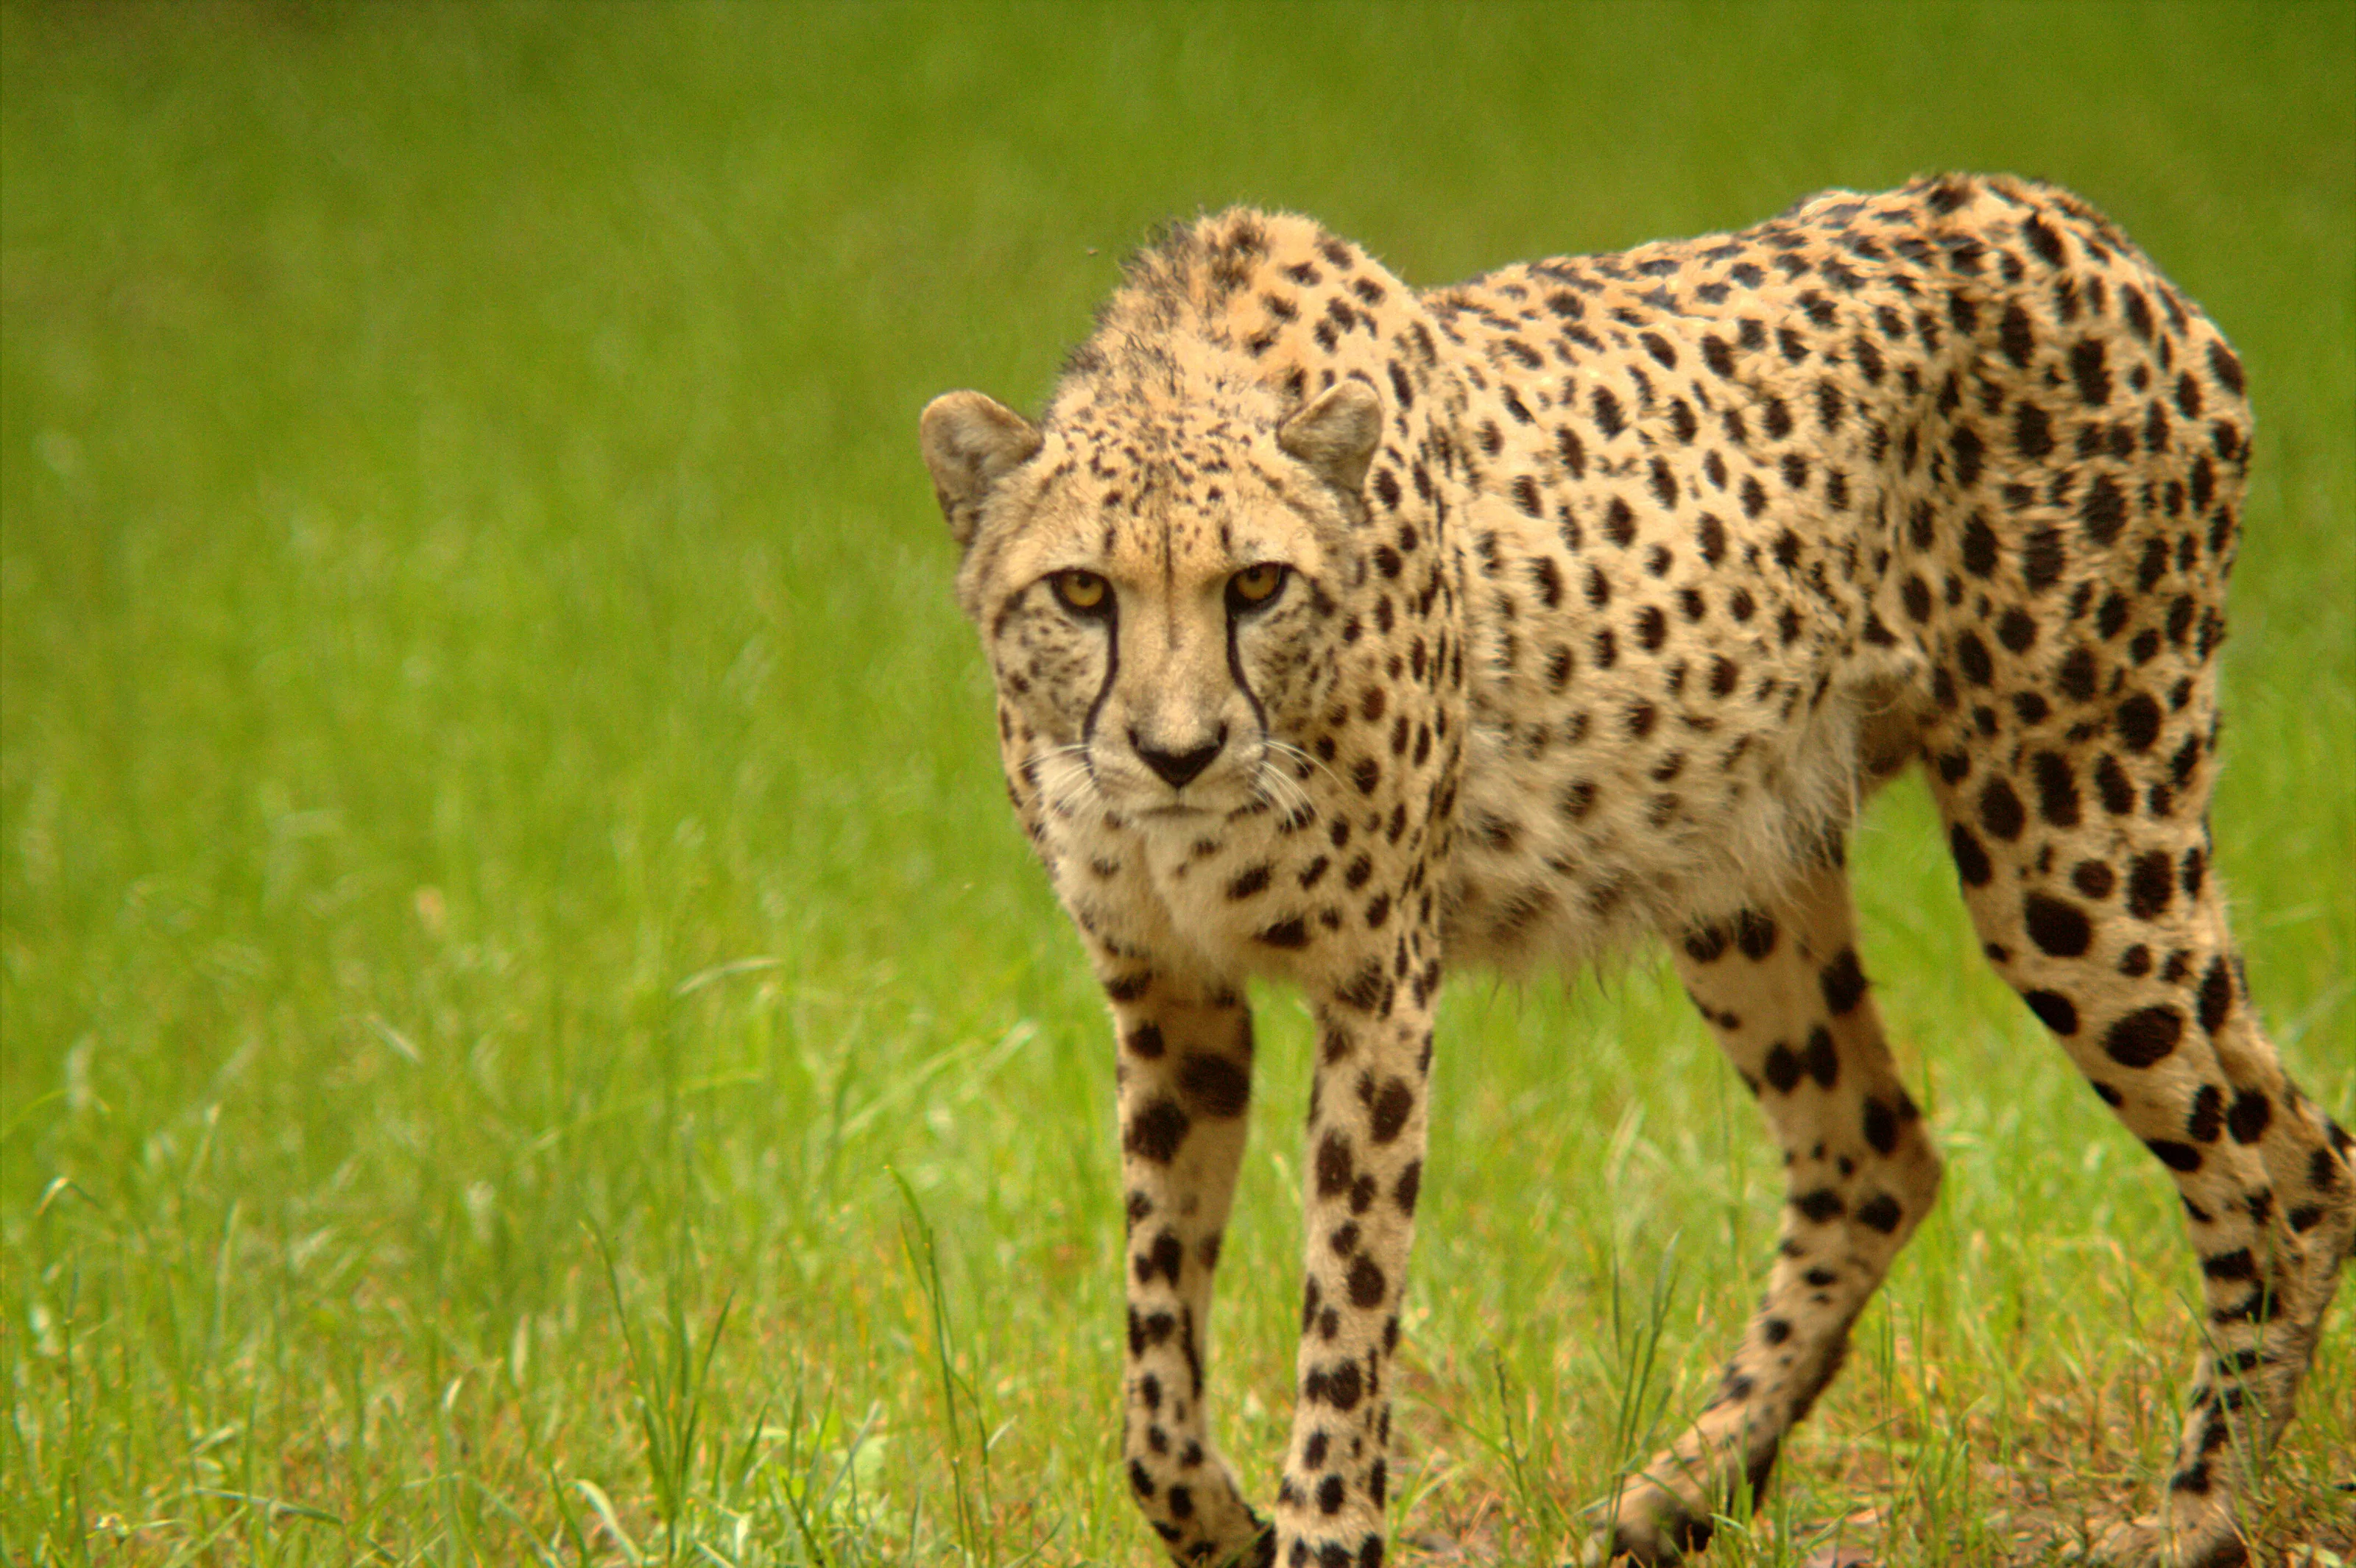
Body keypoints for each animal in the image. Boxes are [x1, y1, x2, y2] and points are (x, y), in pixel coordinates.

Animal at [918, 174, 2354, 1568]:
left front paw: (1317, 1532)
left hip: (2072, 834)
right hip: (1736, 872)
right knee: (1876, 1152)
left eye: (1258, 584)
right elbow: (1154, 1372)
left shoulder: (1379, 985)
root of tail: (2071, 222)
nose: (1177, 751)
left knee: (2292, 1159)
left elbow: (1346, 1317)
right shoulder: (1169, 996)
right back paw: (1683, 1490)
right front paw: (1217, 1524)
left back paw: (2202, 1513)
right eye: (1083, 592)